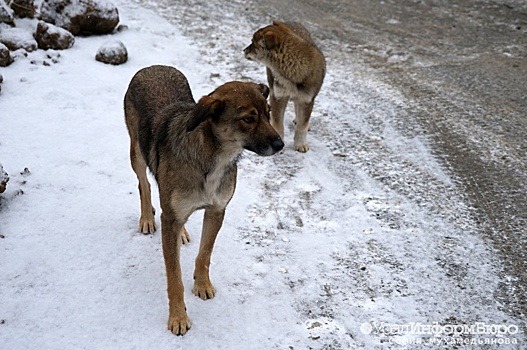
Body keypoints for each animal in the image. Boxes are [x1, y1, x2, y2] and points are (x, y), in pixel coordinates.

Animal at [124, 64, 284, 334]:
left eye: (268, 113)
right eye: (248, 119)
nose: (281, 144)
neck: (212, 159)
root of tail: (153, 67)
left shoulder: (217, 210)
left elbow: (205, 255)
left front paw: (202, 285)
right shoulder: (172, 217)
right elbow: (174, 278)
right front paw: (178, 317)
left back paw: (182, 232)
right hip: (137, 153)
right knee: (144, 185)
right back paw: (147, 218)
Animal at [246, 20, 328, 152]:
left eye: (253, 43)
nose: (244, 51)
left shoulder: (307, 99)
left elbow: (302, 125)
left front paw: (301, 144)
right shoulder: (278, 97)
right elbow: (278, 123)